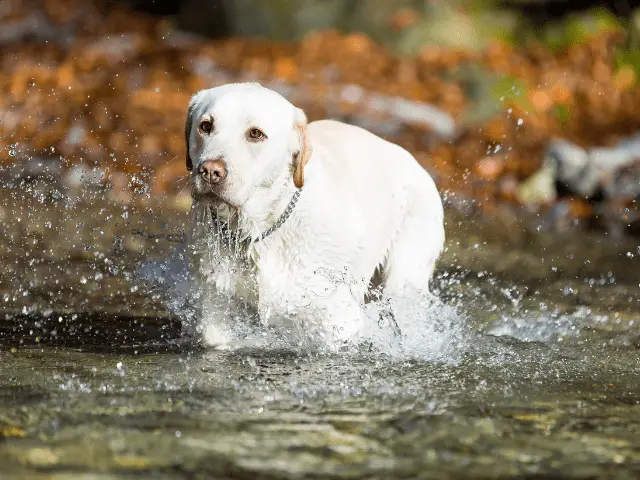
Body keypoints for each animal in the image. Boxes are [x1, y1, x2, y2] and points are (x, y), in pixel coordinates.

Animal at [185, 81, 444, 344]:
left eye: (256, 133)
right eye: (205, 126)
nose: (210, 171)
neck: (259, 230)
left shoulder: (339, 321)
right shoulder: (216, 309)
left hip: (406, 274)